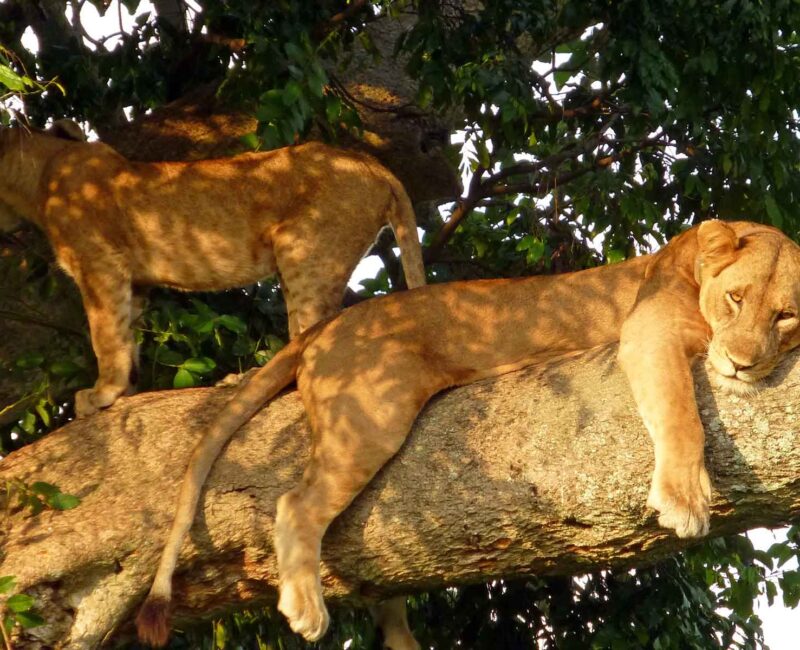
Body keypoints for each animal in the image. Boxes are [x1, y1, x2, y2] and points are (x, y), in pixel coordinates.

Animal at [0, 121, 425, 417]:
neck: (39, 170)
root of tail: (374, 165)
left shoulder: (100, 264)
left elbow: (105, 336)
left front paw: (103, 392)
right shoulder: (134, 282)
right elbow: (127, 338)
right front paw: (126, 391)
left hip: (302, 249)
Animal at [136, 220, 800, 648]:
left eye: (786, 314)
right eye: (734, 298)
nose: (740, 364)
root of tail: (327, 325)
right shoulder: (648, 332)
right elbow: (681, 415)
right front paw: (686, 500)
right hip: (372, 412)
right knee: (297, 504)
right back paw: (306, 606)